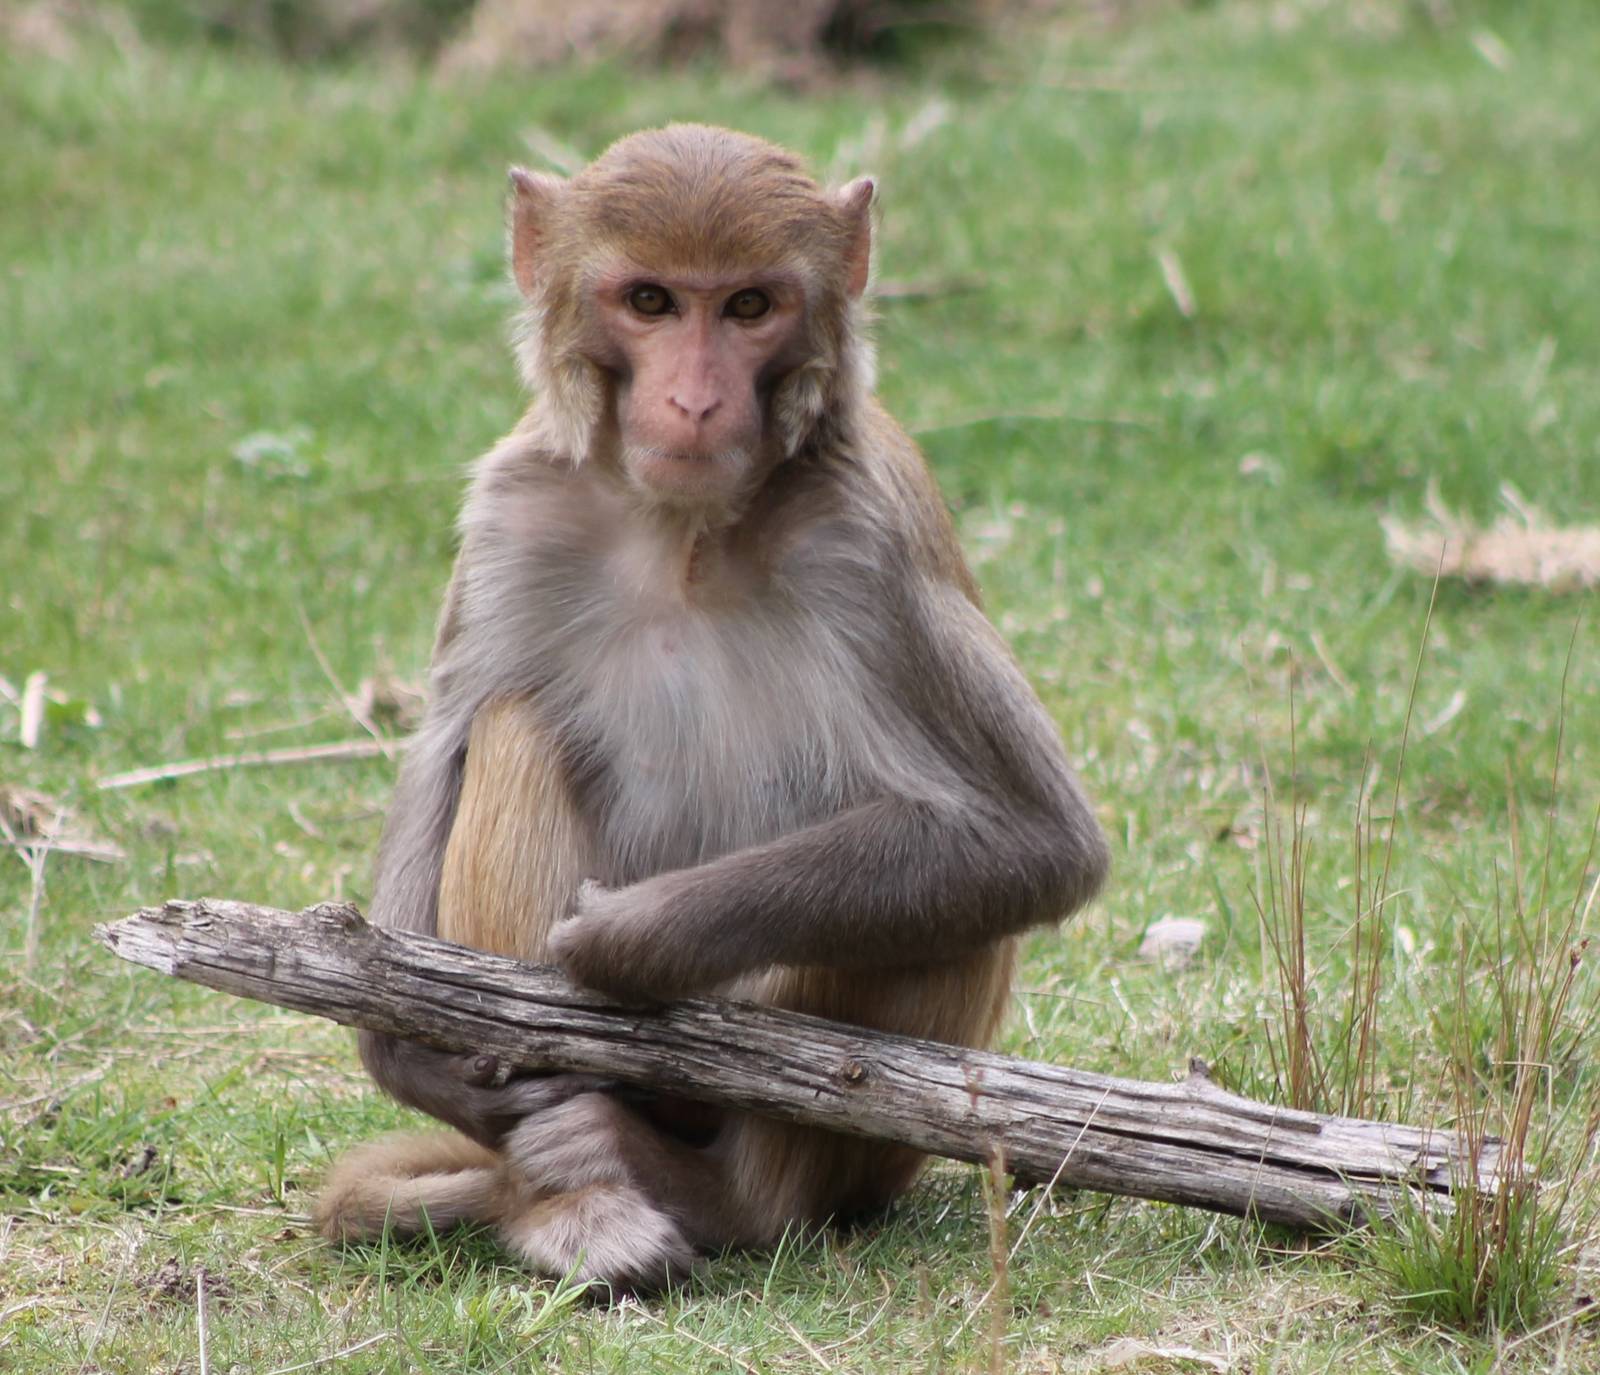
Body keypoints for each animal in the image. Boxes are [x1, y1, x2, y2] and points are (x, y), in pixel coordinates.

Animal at [313, 123, 1110, 1293]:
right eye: (649, 301)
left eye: (747, 306)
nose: (692, 400)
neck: (684, 528)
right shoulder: (515, 511)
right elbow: (448, 746)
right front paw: (411, 1052)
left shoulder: (867, 544)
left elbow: (1032, 836)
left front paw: (626, 941)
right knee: (515, 722)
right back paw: (575, 1193)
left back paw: (719, 1193)